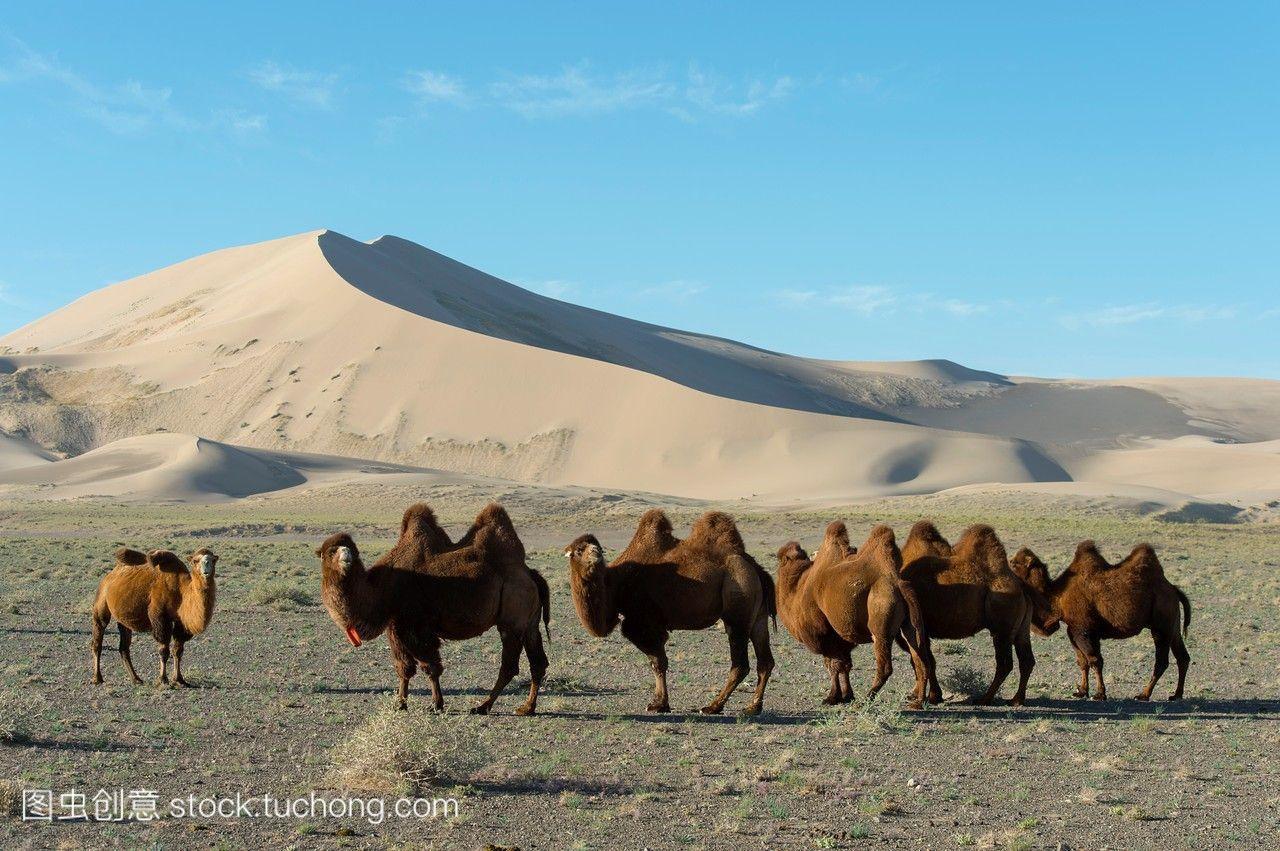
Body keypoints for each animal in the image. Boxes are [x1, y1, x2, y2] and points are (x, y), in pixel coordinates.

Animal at [91, 547, 218, 685]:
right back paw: (97, 678)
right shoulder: (160, 617)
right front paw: (163, 679)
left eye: (213, 560)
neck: (181, 591)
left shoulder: (181, 622)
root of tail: (109, 576)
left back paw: (136, 679)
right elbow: (164, 650)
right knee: (98, 639)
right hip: (101, 602)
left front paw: (179, 679)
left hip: (124, 618)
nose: (206, 568)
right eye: (195, 560)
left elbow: (178, 650)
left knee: (124, 647)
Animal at [318, 501, 550, 711]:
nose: (347, 558)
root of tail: (530, 574)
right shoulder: (395, 628)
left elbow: (429, 666)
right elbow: (404, 668)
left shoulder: (415, 627)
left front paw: (435, 704)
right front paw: (400, 704)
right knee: (538, 662)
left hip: (511, 618)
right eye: (330, 551)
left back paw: (483, 706)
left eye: (352, 550)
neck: (380, 590)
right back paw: (527, 707)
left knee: (510, 665)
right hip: (530, 622)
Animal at [773, 522, 936, 706]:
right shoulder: (842, 640)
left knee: (886, 665)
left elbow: (833, 666)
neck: (798, 590)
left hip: (880, 626)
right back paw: (918, 702)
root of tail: (898, 583)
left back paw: (868, 697)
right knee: (920, 659)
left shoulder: (826, 635)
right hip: (909, 626)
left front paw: (832, 697)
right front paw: (846, 695)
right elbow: (844, 666)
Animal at [896, 522, 1034, 706]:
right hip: (1021, 627)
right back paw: (1016, 699)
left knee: (1005, 663)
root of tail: (1021, 588)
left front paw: (929, 696)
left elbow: (923, 660)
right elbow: (926, 660)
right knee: (1026, 660)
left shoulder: (918, 627)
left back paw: (984, 699)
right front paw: (930, 695)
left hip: (1002, 625)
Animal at [1008, 540, 1187, 701]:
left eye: (1014, 563)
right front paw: (1081, 691)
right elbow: (1082, 661)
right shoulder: (1072, 631)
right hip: (1173, 625)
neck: (1058, 597)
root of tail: (1174, 589)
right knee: (1182, 656)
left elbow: (1095, 660)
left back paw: (1144, 695)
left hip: (1161, 624)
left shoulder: (1083, 630)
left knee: (1161, 661)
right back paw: (1176, 695)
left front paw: (1100, 694)